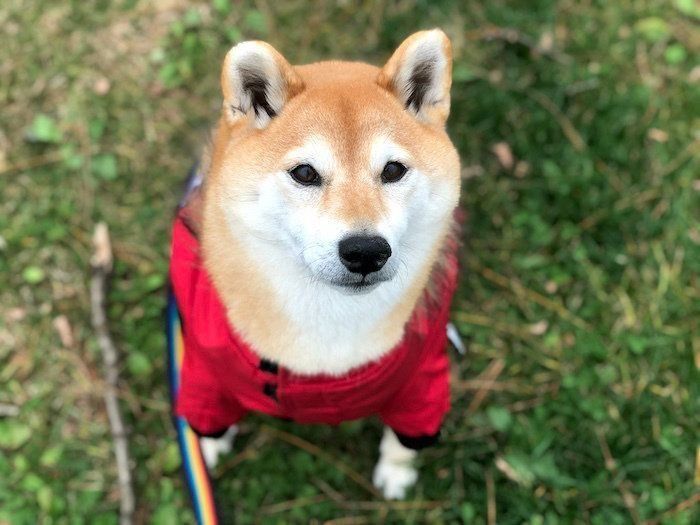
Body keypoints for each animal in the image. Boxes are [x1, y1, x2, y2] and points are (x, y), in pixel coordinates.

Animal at [168, 29, 461, 501]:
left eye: (393, 170)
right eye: (305, 173)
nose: (365, 250)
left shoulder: (421, 378)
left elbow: (404, 437)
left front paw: (396, 471)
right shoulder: (204, 367)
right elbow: (207, 412)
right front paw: (206, 448)